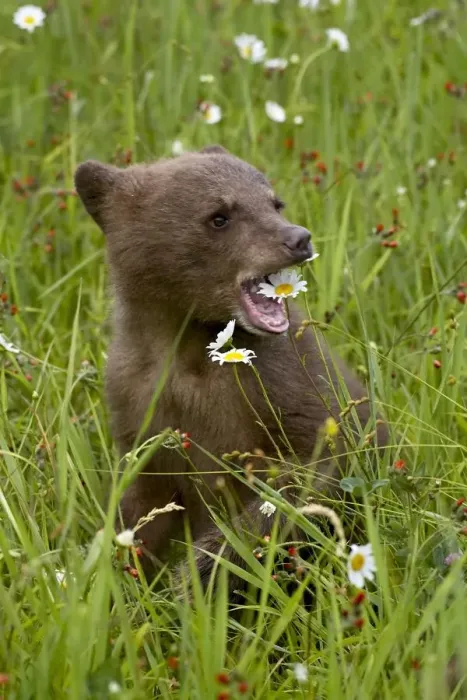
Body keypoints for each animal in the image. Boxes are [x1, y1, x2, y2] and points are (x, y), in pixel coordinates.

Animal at [75, 145, 386, 590]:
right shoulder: (139, 401)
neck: (185, 347)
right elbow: (139, 508)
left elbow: (314, 464)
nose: (298, 238)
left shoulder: (282, 381)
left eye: (274, 202)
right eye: (219, 215)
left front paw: (198, 573)